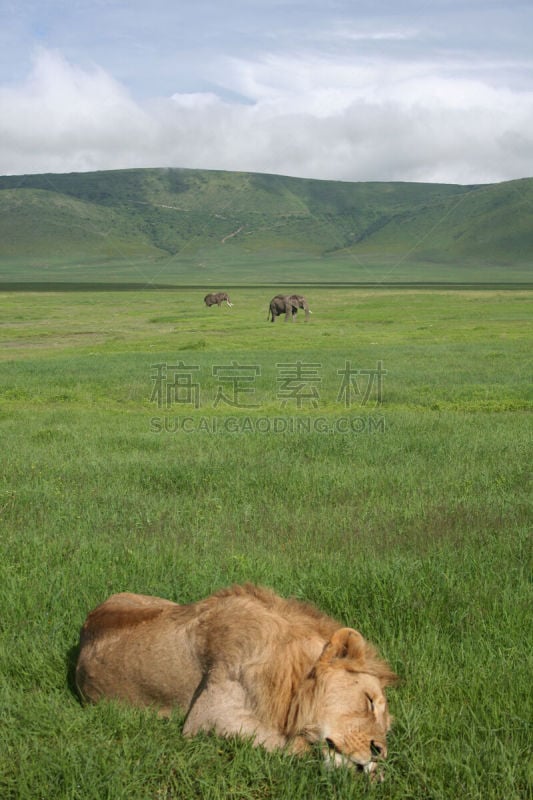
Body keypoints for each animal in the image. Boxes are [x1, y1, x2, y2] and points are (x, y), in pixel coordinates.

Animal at [77, 584, 396, 780]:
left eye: (387, 726)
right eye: (369, 701)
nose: (380, 752)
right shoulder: (209, 716)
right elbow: (292, 745)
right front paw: (364, 770)